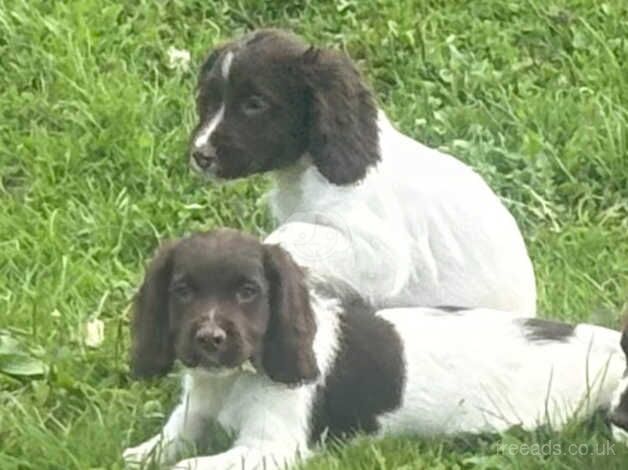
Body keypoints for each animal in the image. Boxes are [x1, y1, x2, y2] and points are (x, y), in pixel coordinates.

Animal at [122, 230, 624, 470]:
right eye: (183, 291)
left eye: (249, 292)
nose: (209, 339)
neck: (232, 381)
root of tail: (607, 344)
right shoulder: (195, 410)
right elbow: (169, 439)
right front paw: (140, 454)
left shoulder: (271, 448)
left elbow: (190, 465)